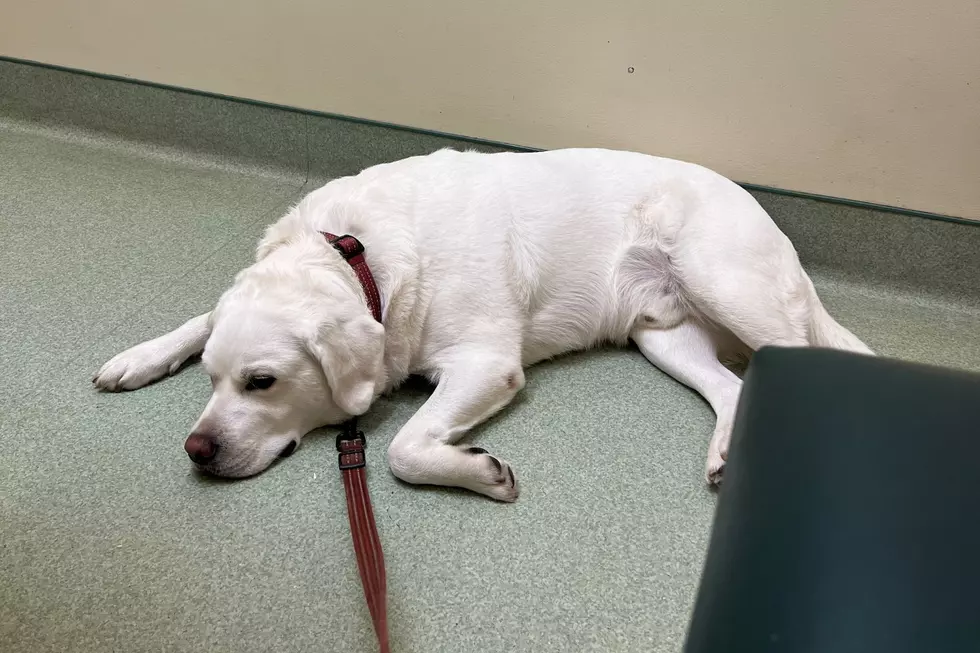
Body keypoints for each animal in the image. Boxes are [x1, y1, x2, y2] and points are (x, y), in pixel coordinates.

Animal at [92, 148, 872, 500]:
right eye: (211, 380)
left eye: (263, 382)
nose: (197, 449)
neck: (357, 254)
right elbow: (201, 316)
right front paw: (140, 355)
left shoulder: (487, 363)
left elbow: (404, 448)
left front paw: (480, 470)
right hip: (664, 333)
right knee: (736, 387)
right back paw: (724, 452)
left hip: (725, 279)